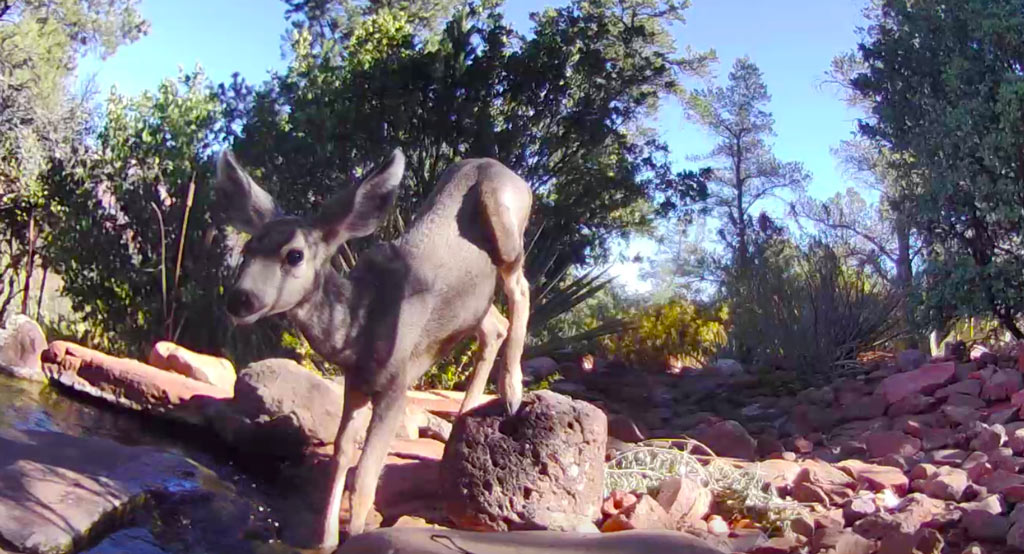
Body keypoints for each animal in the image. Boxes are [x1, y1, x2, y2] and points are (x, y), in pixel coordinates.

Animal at [216, 146, 536, 548]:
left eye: (294, 255)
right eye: (247, 249)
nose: (239, 299)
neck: (357, 329)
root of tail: (508, 172)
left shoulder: (396, 385)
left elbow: (366, 473)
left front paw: (355, 537)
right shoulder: (355, 384)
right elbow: (340, 455)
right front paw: (325, 541)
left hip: (506, 221)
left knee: (520, 287)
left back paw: (512, 392)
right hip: (475, 300)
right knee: (493, 325)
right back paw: (464, 419)